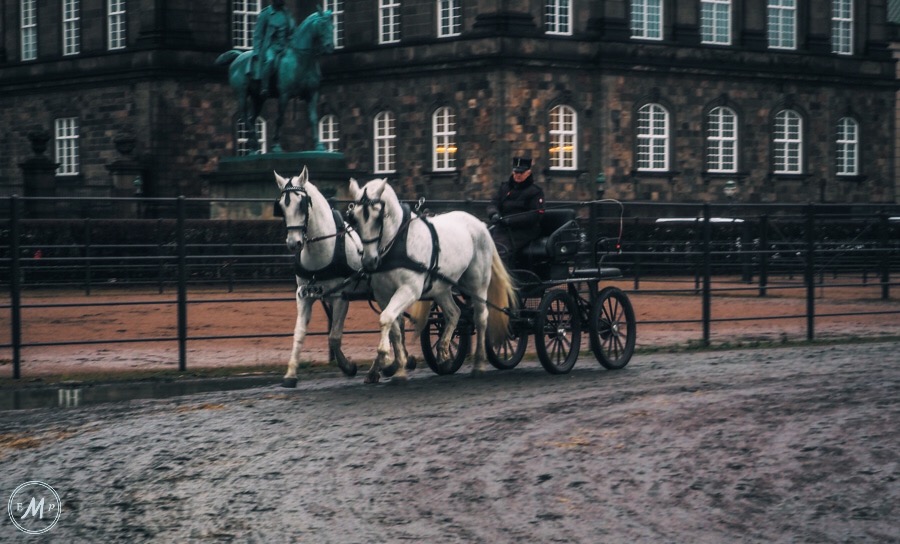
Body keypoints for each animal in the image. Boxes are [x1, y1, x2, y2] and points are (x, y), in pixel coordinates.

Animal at [346, 178, 516, 382]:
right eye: (354, 219)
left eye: (379, 217)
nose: (370, 261)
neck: (397, 243)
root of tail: (480, 224)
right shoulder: (382, 295)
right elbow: (394, 326)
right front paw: (398, 367)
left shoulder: (410, 289)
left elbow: (387, 318)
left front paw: (385, 358)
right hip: (441, 287)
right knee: (454, 313)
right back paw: (443, 352)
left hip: (478, 283)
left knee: (481, 317)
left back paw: (478, 364)